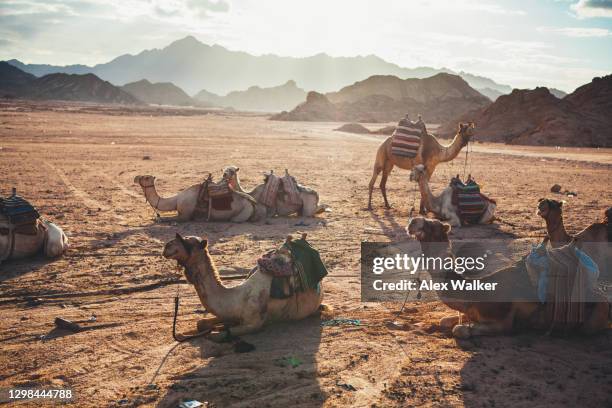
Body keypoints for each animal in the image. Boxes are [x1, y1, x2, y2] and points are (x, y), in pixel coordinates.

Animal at [163, 233, 326, 342]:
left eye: (188, 243)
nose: (167, 246)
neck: (237, 296)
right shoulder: (229, 313)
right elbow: (201, 323)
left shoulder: (254, 323)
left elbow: (215, 335)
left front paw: (218, 329)